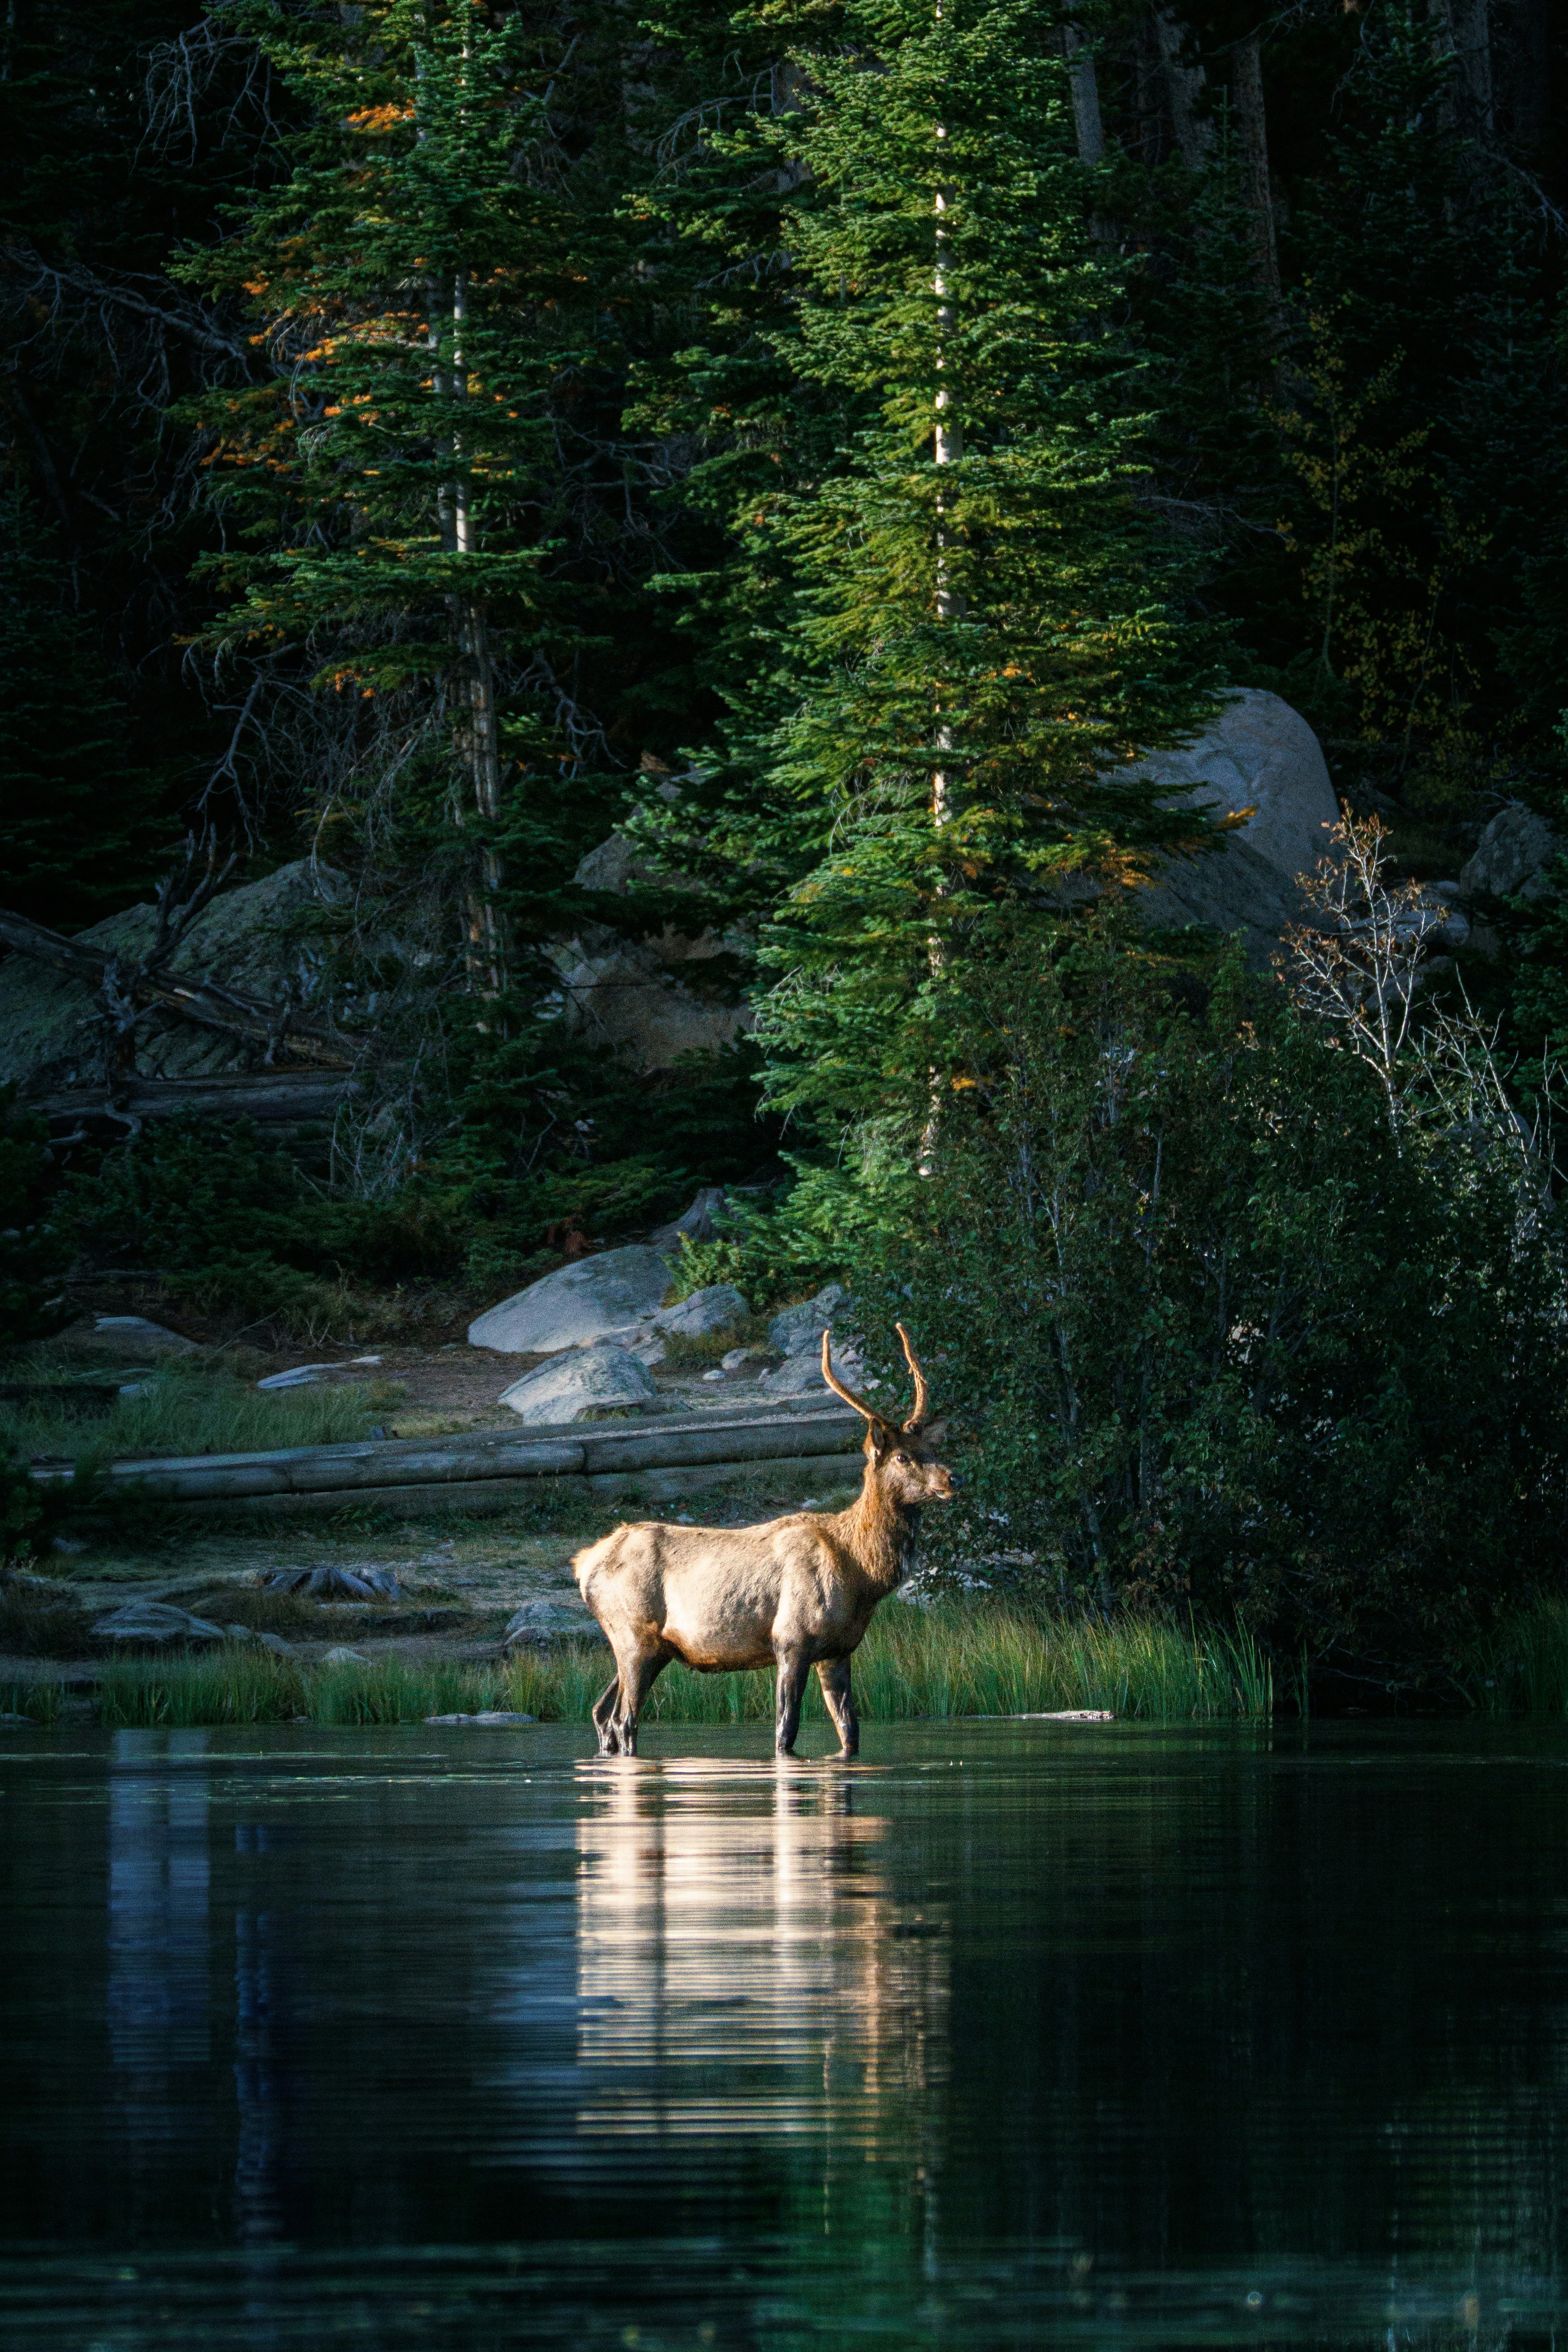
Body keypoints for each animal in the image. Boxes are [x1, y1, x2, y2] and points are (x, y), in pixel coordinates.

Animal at [573, 1323, 958, 1759]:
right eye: (902, 1458)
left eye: (933, 1447)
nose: (953, 1478)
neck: (862, 1578)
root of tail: (582, 1564)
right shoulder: (792, 1639)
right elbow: (785, 1729)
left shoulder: (838, 1650)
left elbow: (850, 1732)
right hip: (633, 1634)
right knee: (624, 1719)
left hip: (649, 1646)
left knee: (601, 1711)